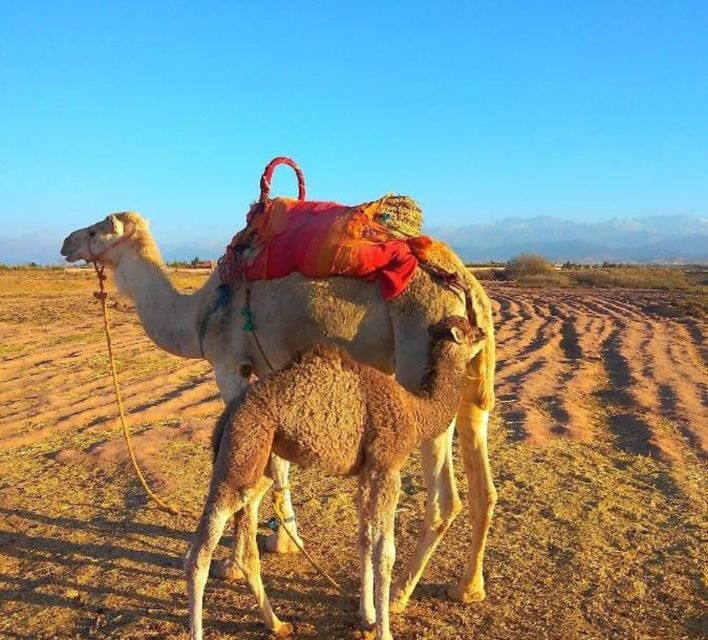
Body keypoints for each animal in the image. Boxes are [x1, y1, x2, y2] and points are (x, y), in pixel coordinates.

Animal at [185, 316, 486, 640]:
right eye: (469, 332)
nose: (484, 332)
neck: (415, 412)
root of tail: (228, 414)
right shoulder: (387, 467)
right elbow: (385, 553)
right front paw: (384, 631)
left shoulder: (367, 472)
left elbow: (365, 540)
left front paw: (367, 616)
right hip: (240, 454)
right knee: (198, 552)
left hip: (257, 463)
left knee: (247, 545)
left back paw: (277, 624)